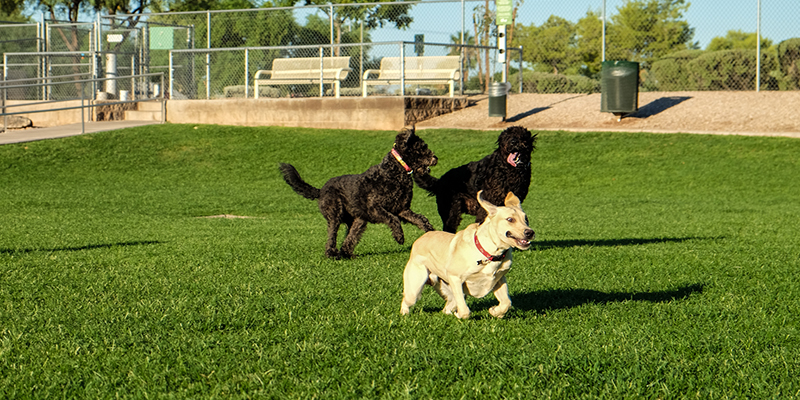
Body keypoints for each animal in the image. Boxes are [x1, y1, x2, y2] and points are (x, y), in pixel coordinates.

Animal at [276, 127, 438, 260]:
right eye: (423, 147)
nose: (435, 158)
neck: (395, 171)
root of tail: (321, 190)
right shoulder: (375, 208)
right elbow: (393, 219)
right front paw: (399, 237)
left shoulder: (402, 209)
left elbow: (420, 219)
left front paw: (430, 231)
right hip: (335, 215)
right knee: (332, 236)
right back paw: (332, 254)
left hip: (357, 220)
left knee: (350, 238)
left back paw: (346, 254)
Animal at [404, 191, 536, 318]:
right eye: (510, 219)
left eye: (526, 219)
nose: (530, 232)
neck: (489, 253)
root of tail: (420, 239)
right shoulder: (455, 278)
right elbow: (465, 311)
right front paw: (460, 314)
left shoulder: (499, 279)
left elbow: (506, 303)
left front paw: (495, 311)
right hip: (415, 286)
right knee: (407, 301)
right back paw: (404, 314)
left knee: (447, 306)